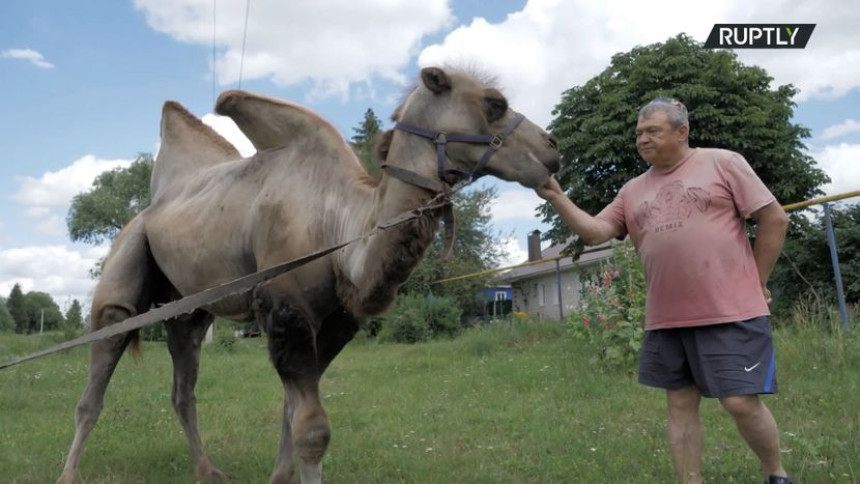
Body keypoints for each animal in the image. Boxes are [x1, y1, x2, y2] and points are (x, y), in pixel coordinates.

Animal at [57, 67, 560, 484]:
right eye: (494, 103)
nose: (552, 149)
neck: (338, 226)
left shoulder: (334, 321)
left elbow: (291, 416)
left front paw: (280, 477)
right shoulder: (284, 306)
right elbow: (313, 430)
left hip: (189, 312)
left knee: (183, 389)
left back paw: (207, 471)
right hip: (123, 276)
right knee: (93, 387)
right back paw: (69, 474)